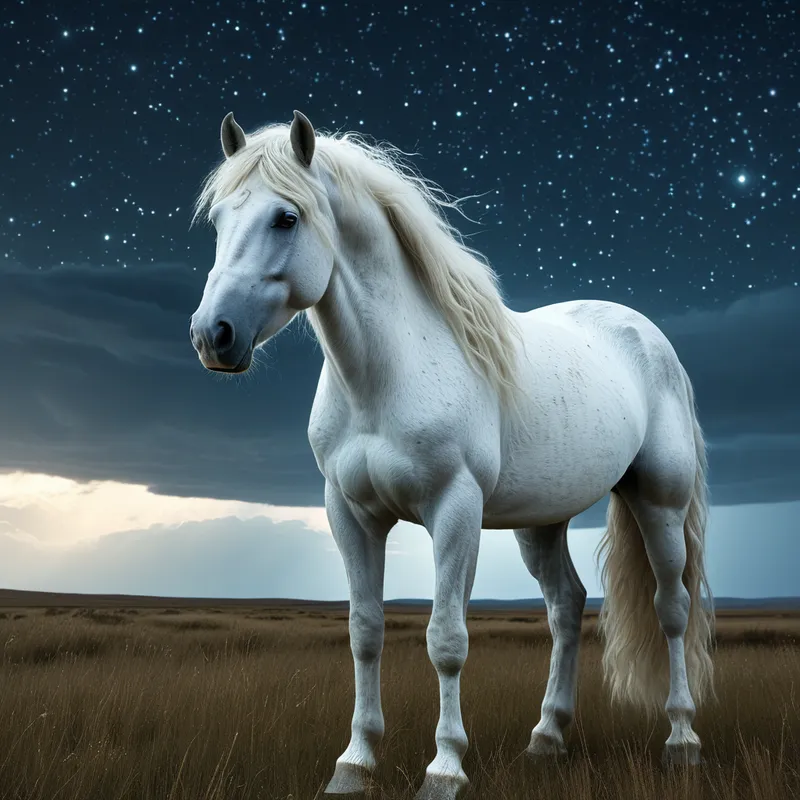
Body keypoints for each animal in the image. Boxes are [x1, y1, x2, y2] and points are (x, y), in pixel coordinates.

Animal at [188, 110, 715, 799]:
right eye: (219, 218)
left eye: (286, 217)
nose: (212, 336)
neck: (385, 377)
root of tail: (647, 335)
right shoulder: (349, 514)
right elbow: (365, 632)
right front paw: (354, 762)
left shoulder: (454, 508)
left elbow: (446, 639)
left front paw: (445, 769)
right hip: (542, 520)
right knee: (566, 606)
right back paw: (547, 738)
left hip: (659, 501)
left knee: (671, 608)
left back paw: (682, 739)